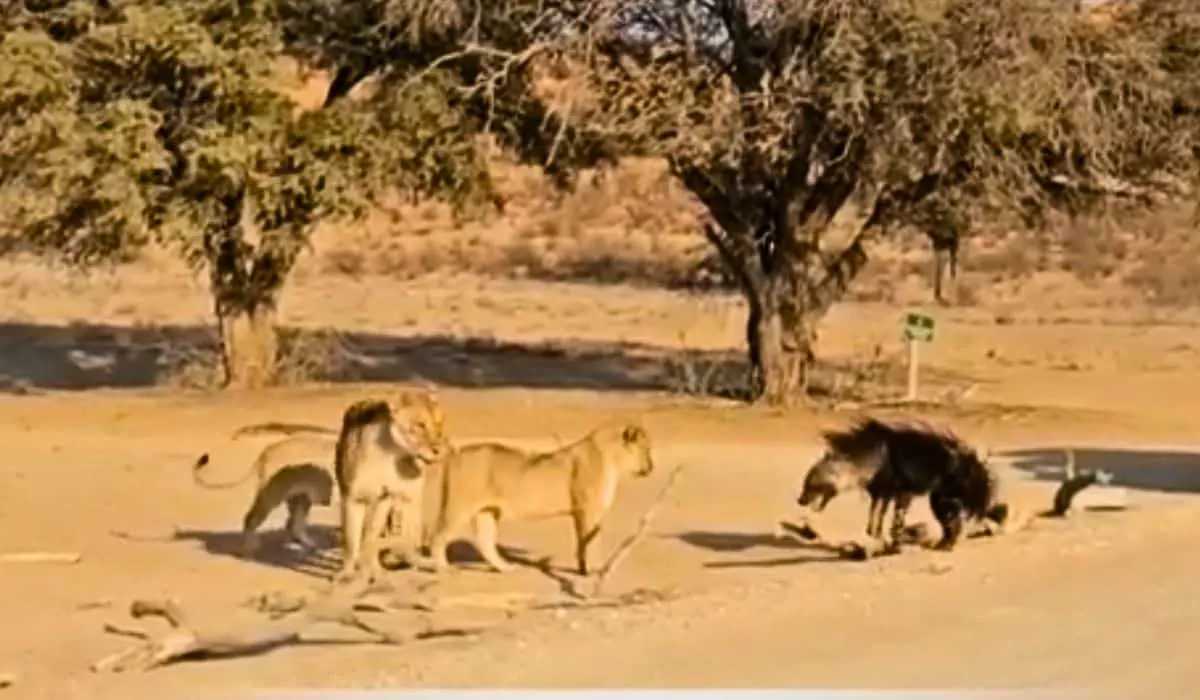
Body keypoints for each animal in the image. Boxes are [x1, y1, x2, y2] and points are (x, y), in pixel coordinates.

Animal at [424, 422, 652, 576]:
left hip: (487, 511)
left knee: (485, 541)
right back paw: (444, 569)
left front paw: (583, 569)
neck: (611, 459)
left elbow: (583, 542)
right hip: (458, 508)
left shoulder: (580, 512)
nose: (651, 467)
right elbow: (592, 541)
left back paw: (505, 567)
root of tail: (456, 453)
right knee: (437, 537)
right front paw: (594, 569)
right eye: (646, 449)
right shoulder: (589, 510)